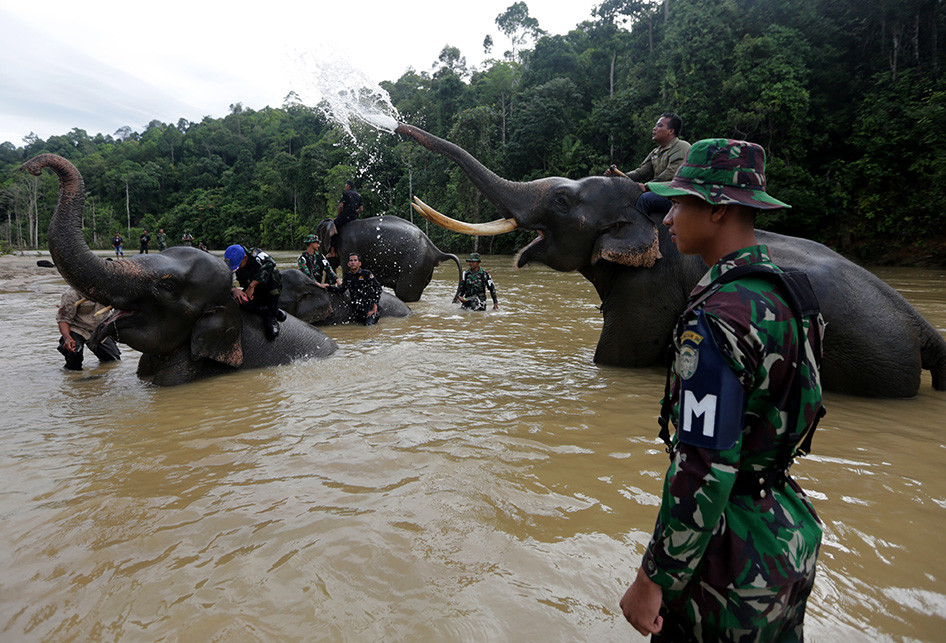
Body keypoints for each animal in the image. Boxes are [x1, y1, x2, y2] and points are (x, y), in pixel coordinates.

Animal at [392, 122, 944, 398]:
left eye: (563, 202)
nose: (398, 124)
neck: (645, 211)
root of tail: (921, 325)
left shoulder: (652, 287)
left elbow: (617, 357)